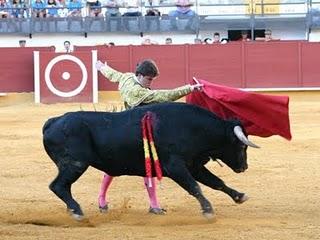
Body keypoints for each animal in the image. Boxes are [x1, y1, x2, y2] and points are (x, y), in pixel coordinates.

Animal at [42, 101, 258, 219]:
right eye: (241, 146)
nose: (244, 167)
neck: (194, 128)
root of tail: (53, 121)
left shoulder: (194, 165)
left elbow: (216, 182)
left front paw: (239, 196)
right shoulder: (175, 167)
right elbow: (194, 186)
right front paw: (208, 210)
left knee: (64, 186)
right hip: (75, 164)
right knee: (58, 186)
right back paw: (77, 211)